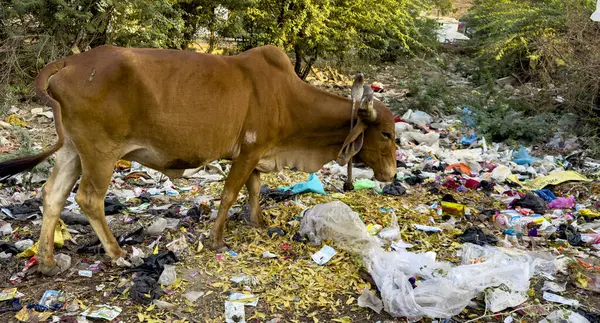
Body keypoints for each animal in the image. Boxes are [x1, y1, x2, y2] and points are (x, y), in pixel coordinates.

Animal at [0, 45, 398, 276]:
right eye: (388, 135)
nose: (392, 173)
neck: (287, 99)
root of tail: (69, 61)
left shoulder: (255, 153)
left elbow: (254, 188)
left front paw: (257, 221)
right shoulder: (249, 151)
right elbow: (231, 192)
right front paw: (218, 238)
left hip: (73, 150)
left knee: (53, 196)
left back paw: (47, 262)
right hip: (100, 152)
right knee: (88, 199)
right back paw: (118, 253)